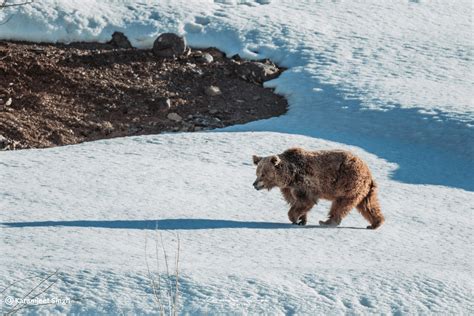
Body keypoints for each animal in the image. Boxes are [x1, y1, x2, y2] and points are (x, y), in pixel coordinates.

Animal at [252, 147, 386, 228]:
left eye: (263, 174)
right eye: (257, 172)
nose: (254, 184)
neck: (289, 177)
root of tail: (368, 172)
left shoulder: (304, 183)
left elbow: (305, 201)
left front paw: (294, 218)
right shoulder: (288, 188)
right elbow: (296, 202)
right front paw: (302, 220)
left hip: (347, 183)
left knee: (340, 205)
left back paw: (326, 222)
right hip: (363, 190)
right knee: (368, 205)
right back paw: (375, 223)